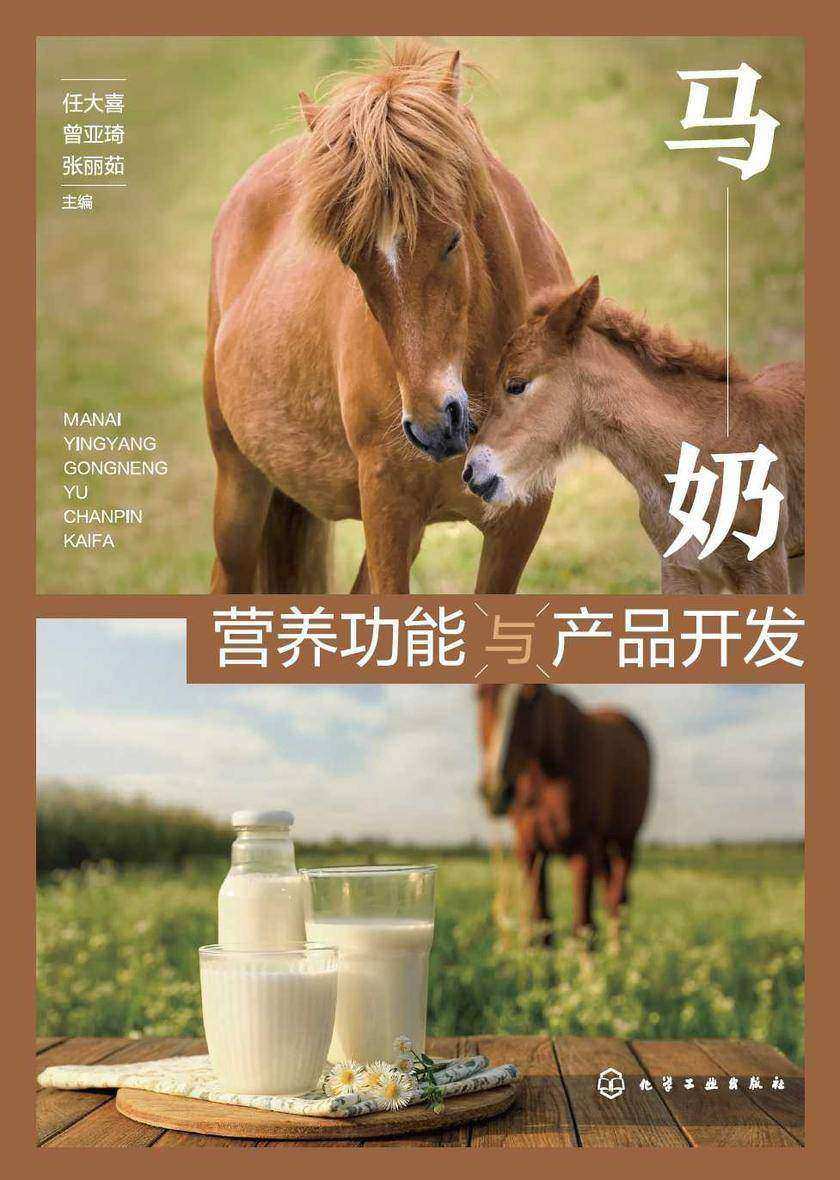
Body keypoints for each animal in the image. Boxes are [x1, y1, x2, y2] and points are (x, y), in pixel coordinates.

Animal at [204, 41, 573, 593]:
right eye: (351, 260)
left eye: (452, 240)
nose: (434, 427)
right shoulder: (387, 507)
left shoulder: (520, 518)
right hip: (239, 489)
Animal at [476, 684, 651, 944]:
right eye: (478, 694)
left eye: (533, 696)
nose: (496, 791)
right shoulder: (529, 847)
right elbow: (542, 923)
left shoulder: (583, 848)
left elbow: (583, 926)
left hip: (625, 841)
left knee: (618, 898)